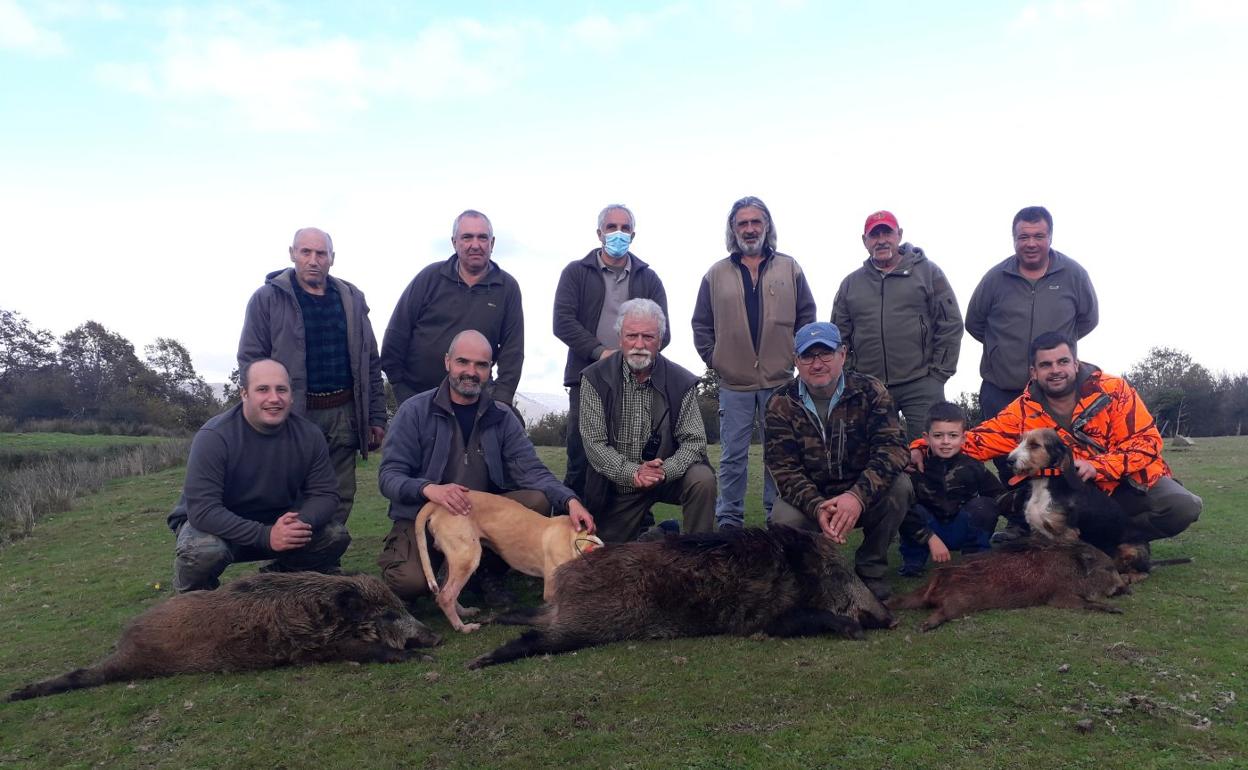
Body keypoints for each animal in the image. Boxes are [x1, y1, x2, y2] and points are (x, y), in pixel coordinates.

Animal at [416, 491, 601, 631]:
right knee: (446, 596)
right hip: (467, 557)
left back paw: (464, 612)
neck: (576, 540)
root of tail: (436, 504)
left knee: (445, 591)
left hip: (456, 558)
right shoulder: (551, 590)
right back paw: (463, 627)